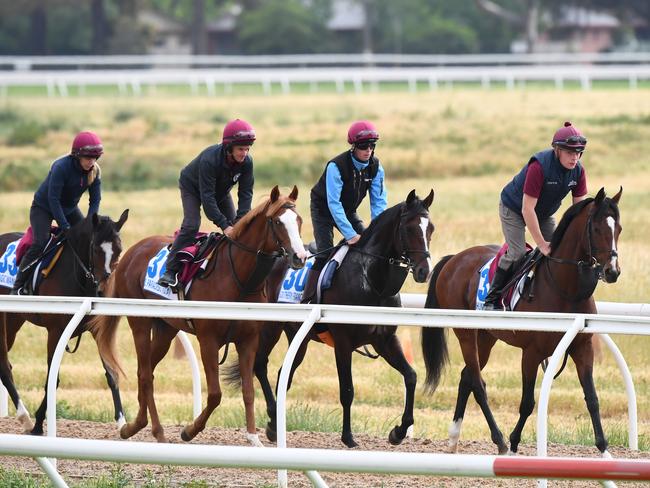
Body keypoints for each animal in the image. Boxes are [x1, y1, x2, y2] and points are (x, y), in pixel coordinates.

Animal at [0, 210, 129, 434]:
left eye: (119, 250)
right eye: (96, 249)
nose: (103, 290)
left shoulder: (97, 330)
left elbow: (111, 374)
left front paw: (122, 423)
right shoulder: (56, 331)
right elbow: (53, 379)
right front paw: (38, 424)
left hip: (13, 321)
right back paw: (25, 417)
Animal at [89, 187, 308, 446]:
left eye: (299, 220)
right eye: (277, 222)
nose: (300, 256)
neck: (240, 280)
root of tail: (132, 251)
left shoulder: (248, 340)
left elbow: (248, 390)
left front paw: (254, 438)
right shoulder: (208, 340)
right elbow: (215, 394)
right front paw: (189, 430)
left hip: (166, 329)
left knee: (147, 371)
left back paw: (142, 427)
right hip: (140, 323)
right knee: (144, 374)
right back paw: (144, 428)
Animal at [253, 189, 436, 448]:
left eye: (431, 228)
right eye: (409, 228)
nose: (424, 271)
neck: (373, 282)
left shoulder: (385, 340)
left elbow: (410, 376)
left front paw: (398, 432)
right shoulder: (343, 343)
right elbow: (347, 390)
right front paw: (348, 437)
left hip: (299, 337)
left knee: (283, 375)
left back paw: (273, 425)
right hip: (270, 327)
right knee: (260, 364)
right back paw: (272, 416)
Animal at [418, 186, 620, 454]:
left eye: (618, 228)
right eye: (597, 229)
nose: (612, 271)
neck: (565, 289)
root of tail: (454, 259)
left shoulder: (582, 347)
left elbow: (592, 398)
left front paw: (603, 448)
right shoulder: (531, 353)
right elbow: (527, 402)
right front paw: (514, 442)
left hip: (486, 338)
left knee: (466, 377)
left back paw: (453, 439)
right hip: (466, 333)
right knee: (477, 383)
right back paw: (500, 441)